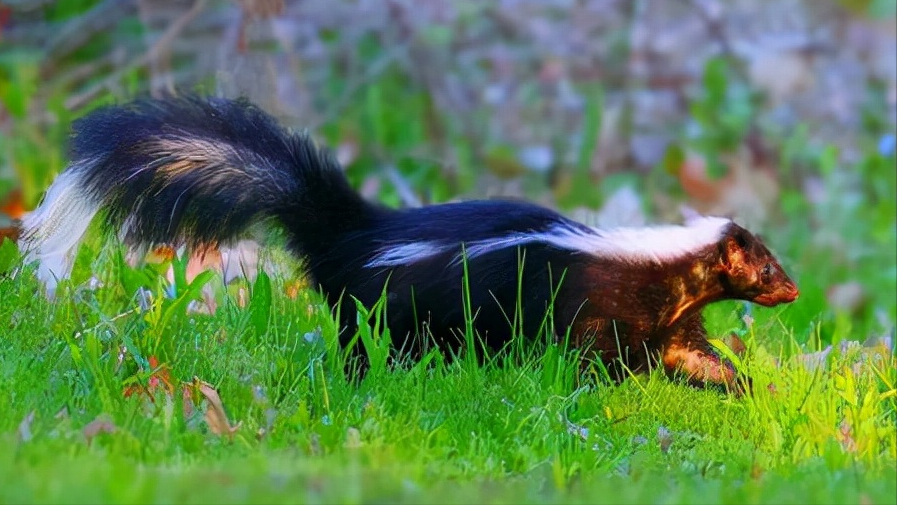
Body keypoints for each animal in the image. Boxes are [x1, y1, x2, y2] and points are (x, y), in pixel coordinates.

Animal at [22, 96, 800, 390]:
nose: (792, 289)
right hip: (386, 306)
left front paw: (742, 385)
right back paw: (368, 381)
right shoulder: (599, 300)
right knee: (370, 347)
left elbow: (689, 353)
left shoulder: (668, 314)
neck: (653, 260)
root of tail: (353, 230)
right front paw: (600, 391)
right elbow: (591, 357)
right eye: (766, 267)